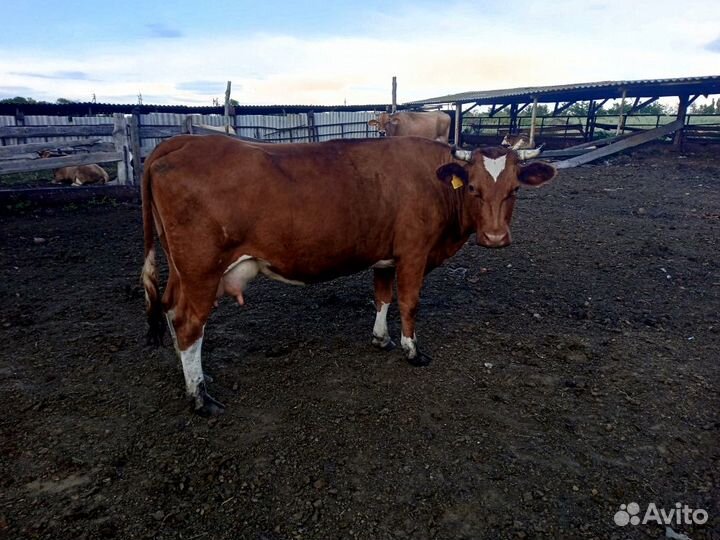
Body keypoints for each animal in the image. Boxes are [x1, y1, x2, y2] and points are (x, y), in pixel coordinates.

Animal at [141, 135, 557, 416]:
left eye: (514, 189)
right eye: (472, 187)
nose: (495, 238)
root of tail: (182, 141)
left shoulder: (385, 257)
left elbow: (383, 297)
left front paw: (381, 339)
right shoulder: (414, 252)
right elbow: (409, 301)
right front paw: (412, 350)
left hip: (181, 270)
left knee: (170, 309)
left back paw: (197, 378)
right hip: (201, 269)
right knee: (189, 323)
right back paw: (200, 397)